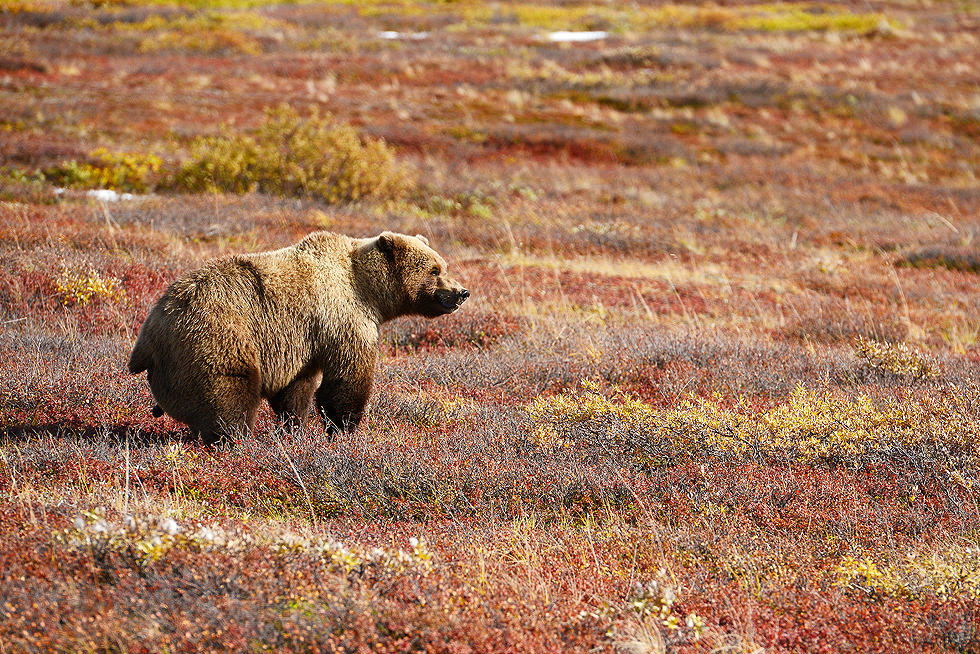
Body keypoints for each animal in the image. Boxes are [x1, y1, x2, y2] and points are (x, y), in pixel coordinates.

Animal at [128, 230, 469, 444]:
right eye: (435, 270)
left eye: (443, 265)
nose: (461, 292)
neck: (369, 292)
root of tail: (150, 332)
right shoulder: (344, 319)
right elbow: (346, 380)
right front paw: (343, 430)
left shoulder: (302, 343)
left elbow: (296, 389)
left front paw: (295, 428)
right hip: (215, 336)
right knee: (229, 397)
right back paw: (235, 441)